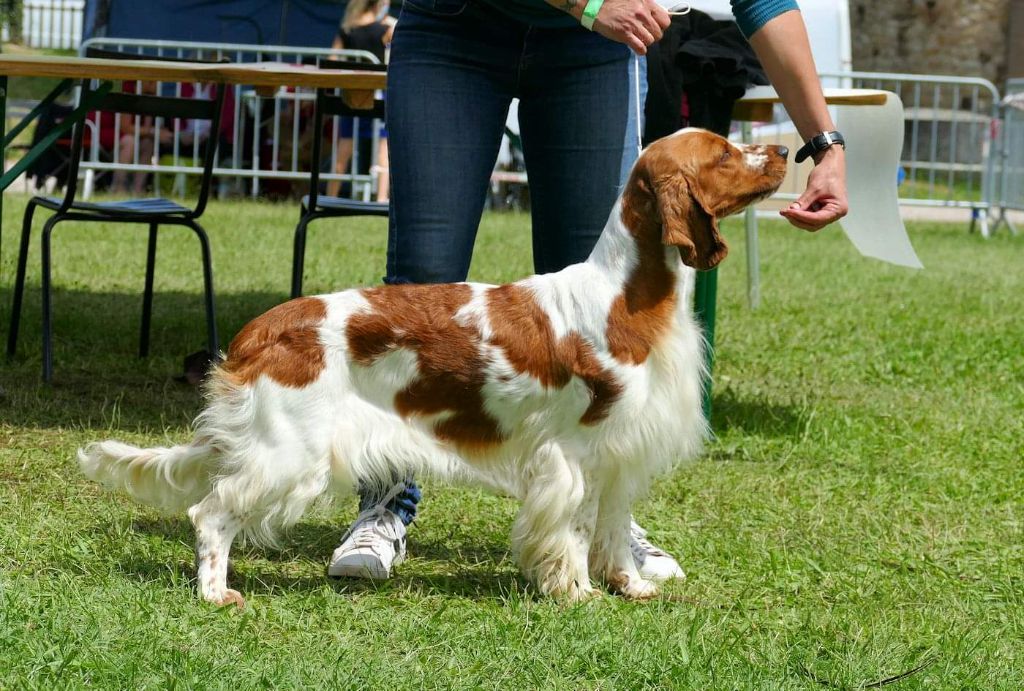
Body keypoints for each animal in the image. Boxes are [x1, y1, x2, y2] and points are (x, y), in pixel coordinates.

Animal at [79, 128, 786, 606]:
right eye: (724, 153)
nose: (785, 151)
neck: (627, 297)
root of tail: (258, 331)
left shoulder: (620, 453)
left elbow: (612, 531)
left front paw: (630, 585)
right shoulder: (573, 456)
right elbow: (575, 532)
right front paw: (576, 592)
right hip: (289, 453)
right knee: (210, 514)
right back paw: (215, 593)